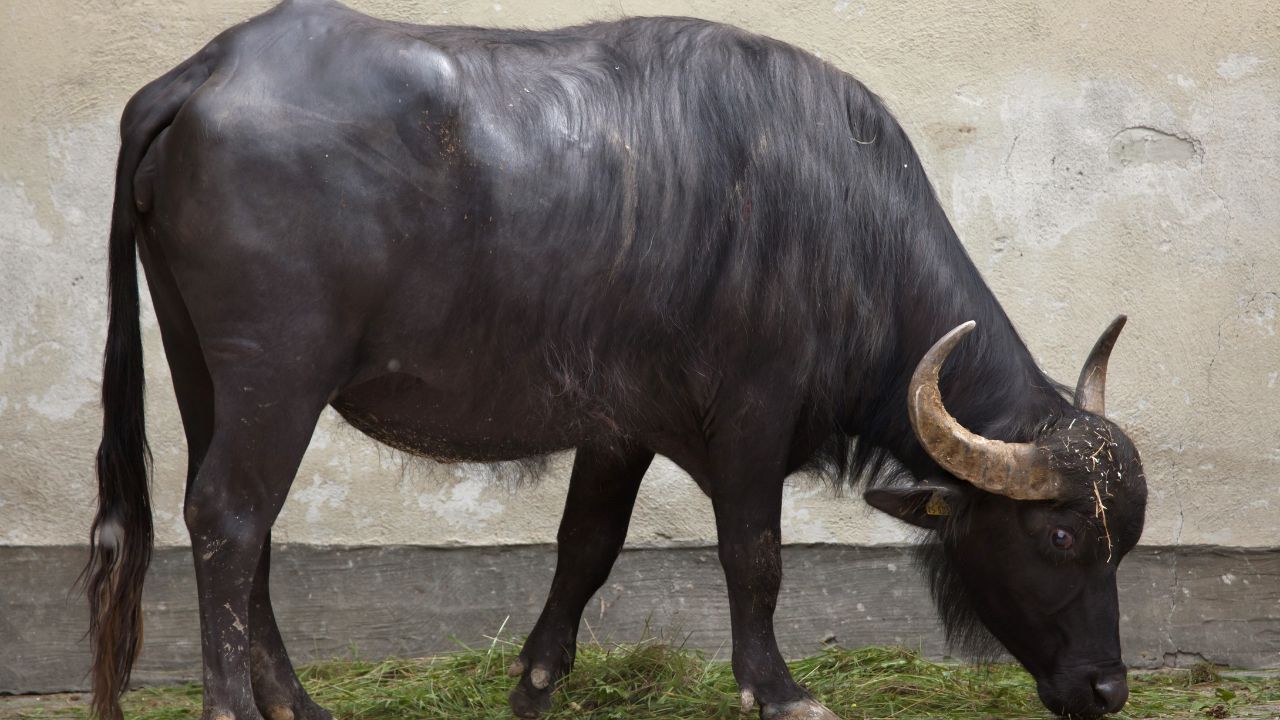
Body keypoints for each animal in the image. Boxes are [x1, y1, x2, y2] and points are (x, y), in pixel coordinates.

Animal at [85, 1, 1147, 719]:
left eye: (1123, 543)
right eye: (1060, 536)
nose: (1107, 688)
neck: (838, 223)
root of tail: (204, 73)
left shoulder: (621, 427)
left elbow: (586, 546)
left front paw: (535, 678)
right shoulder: (754, 417)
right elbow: (753, 555)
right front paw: (779, 687)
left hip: (201, 369)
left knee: (241, 526)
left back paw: (297, 702)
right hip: (277, 375)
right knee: (229, 520)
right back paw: (236, 705)